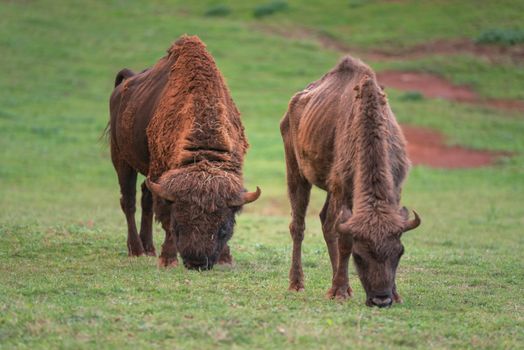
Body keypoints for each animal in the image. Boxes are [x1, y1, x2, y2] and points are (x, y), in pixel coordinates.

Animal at [107, 35, 260, 270]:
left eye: (223, 228)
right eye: (179, 224)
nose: (197, 262)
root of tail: (125, 84)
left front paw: (225, 259)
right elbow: (164, 217)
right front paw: (168, 260)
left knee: (144, 198)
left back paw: (149, 248)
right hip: (122, 159)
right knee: (129, 201)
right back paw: (137, 250)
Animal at [280, 56, 420, 308]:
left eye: (399, 253)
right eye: (359, 255)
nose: (381, 299)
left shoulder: (394, 187)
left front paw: (396, 294)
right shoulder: (342, 190)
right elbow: (343, 239)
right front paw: (339, 291)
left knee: (326, 222)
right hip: (296, 172)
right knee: (299, 225)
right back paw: (297, 284)